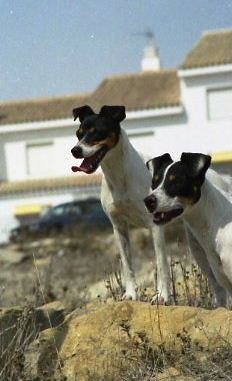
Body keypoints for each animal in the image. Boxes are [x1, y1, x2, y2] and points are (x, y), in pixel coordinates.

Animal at [71, 105, 172, 302]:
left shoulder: (155, 225)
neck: (119, 176)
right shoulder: (119, 227)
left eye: (96, 132)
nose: (75, 150)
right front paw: (131, 294)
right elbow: (127, 266)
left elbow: (162, 263)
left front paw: (162, 296)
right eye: (78, 134)